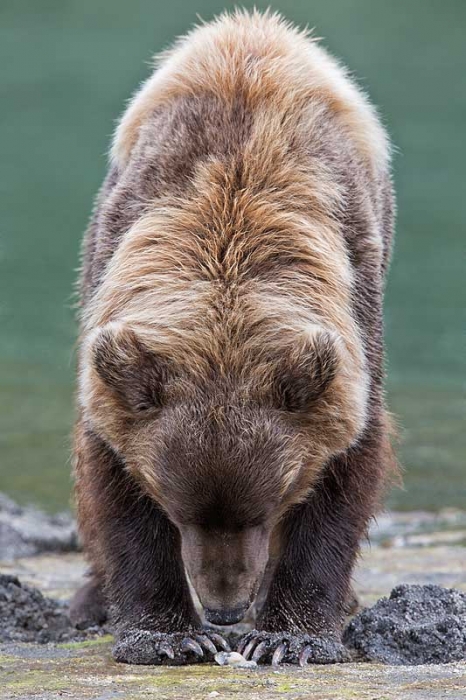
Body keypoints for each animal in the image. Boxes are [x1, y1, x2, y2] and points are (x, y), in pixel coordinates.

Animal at [71, 10, 396, 668]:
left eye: (268, 506)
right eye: (177, 509)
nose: (224, 608)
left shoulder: (355, 313)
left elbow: (347, 470)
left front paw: (288, 636)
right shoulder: (113, 317)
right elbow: (112, 480)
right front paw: (170, 636)